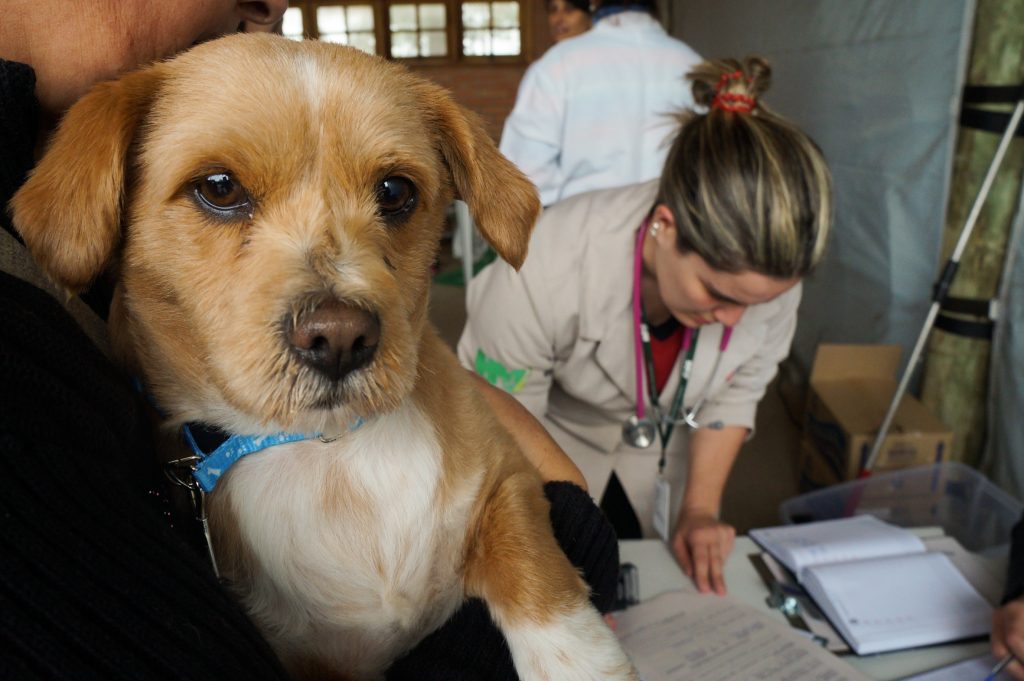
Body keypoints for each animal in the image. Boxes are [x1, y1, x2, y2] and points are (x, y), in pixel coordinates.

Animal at [12, 33, 634, 681]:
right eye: (219, 187)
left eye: (395, 191)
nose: (340, 338)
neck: (327, 454)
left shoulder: (505, 475)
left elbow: (534, 568)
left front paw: (583, 659)